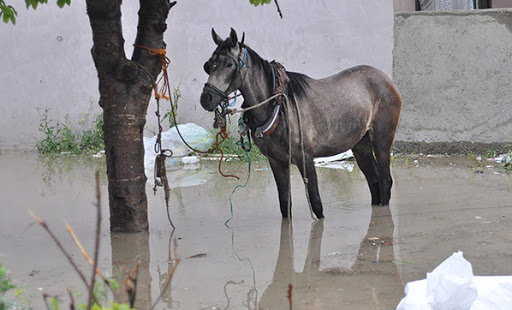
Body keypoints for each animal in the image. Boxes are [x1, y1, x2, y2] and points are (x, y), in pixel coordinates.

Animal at [199, 27, 400, 219]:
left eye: (229, 64)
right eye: (209, 65)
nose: (206, 99)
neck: (277, 107)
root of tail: (386, 79)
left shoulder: (306, 159)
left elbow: (316, 203)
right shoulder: (277, 162)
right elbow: (285, 205)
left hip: (381, 142)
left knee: (385, 181)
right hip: (360, 145)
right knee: (374, 181)